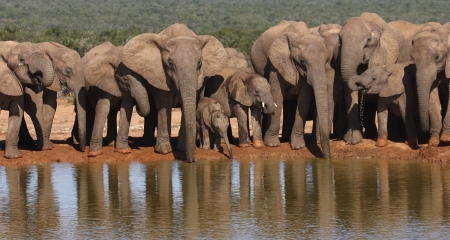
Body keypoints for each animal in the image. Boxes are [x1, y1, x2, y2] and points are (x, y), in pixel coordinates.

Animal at [119, 23, 227, 163]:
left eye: (199, 63)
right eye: (170, 63)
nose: (191, 161)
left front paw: (182, 149)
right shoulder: (160, 74)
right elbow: (164, 103)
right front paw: (164, 151)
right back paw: (146, 144)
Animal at [251, 20, 332, 159]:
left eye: (327, 60)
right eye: (301, 60)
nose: (328, 158)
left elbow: (304, 99)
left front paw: (298, 146)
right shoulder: (276, 63)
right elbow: (277, 94)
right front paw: (272, 144)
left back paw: (286, 138)